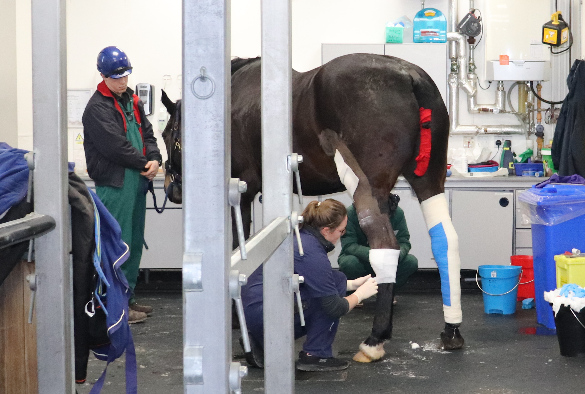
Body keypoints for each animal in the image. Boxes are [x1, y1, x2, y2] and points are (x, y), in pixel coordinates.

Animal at [162, 53, 464, 364]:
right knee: (445, 240)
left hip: (369, 188)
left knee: (385, 246)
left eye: (166, 134)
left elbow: (239, 248)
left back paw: (375, 339)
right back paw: (451, 329)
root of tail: (409, 75)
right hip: (429, 183)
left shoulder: (243, 193)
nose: (172, 188)